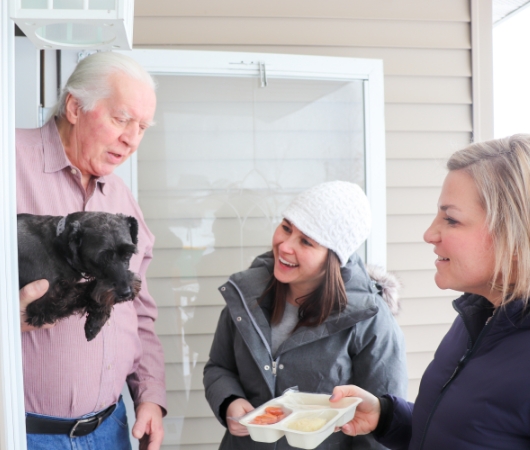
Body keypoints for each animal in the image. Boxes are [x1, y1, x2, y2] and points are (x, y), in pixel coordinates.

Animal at [17, 212, 141, 342]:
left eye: (128, 253)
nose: (126, 293)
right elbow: (89, 290)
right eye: (99, 260)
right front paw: (97, 318)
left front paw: (94, 322)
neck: (59, 249)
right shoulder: (43, 303)